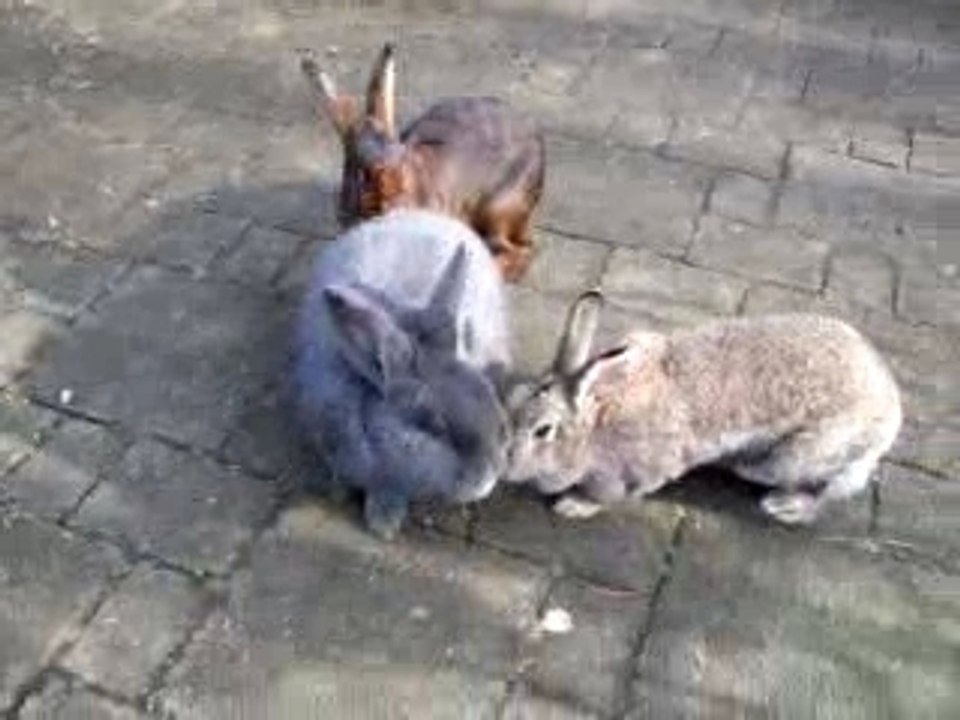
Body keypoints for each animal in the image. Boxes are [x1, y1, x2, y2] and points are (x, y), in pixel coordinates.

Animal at [293, 208, 511, 539]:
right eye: (434, 427)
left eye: (487, 393)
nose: (487, 479)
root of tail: (421, 213)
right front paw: (382, 522)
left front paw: (382, 521)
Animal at [504, 290, 903, 525]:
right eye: (510, 401)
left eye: (543, 430)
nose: (503, 464)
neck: (595, 421)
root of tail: (891, 407)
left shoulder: (634, 471)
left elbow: (609, 495)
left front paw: (573, 506)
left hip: (799, 456)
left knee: (830, 491)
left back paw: (785, 506)